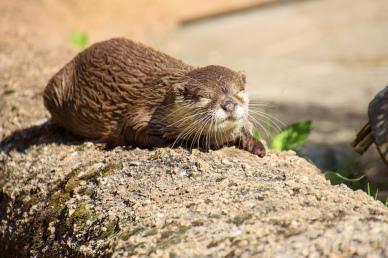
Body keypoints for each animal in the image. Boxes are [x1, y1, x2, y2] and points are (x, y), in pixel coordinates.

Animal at [43, 37, 266, 156]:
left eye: (238, 91)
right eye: (204, 96)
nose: (229, 105)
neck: (160, 101)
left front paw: (254, 143)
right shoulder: (140, 113)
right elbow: (134, 130)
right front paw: (193, 142)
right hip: (56, 90)